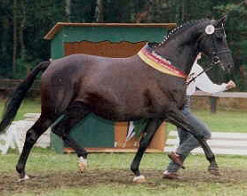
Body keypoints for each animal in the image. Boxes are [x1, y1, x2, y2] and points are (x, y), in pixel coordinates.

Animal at [0, 16, 233, 182]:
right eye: (218, 37)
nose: (229, 65)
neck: (167, 66)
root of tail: (52, 63)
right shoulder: (170, 112)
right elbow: (198, 133)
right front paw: (213, 165)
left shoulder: (158, 116)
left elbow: (144, 142)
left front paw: (137, 172)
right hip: (52, 110)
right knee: (33, 134)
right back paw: (22, 173)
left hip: (79, 110)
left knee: (61, 129)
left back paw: (83, 158)